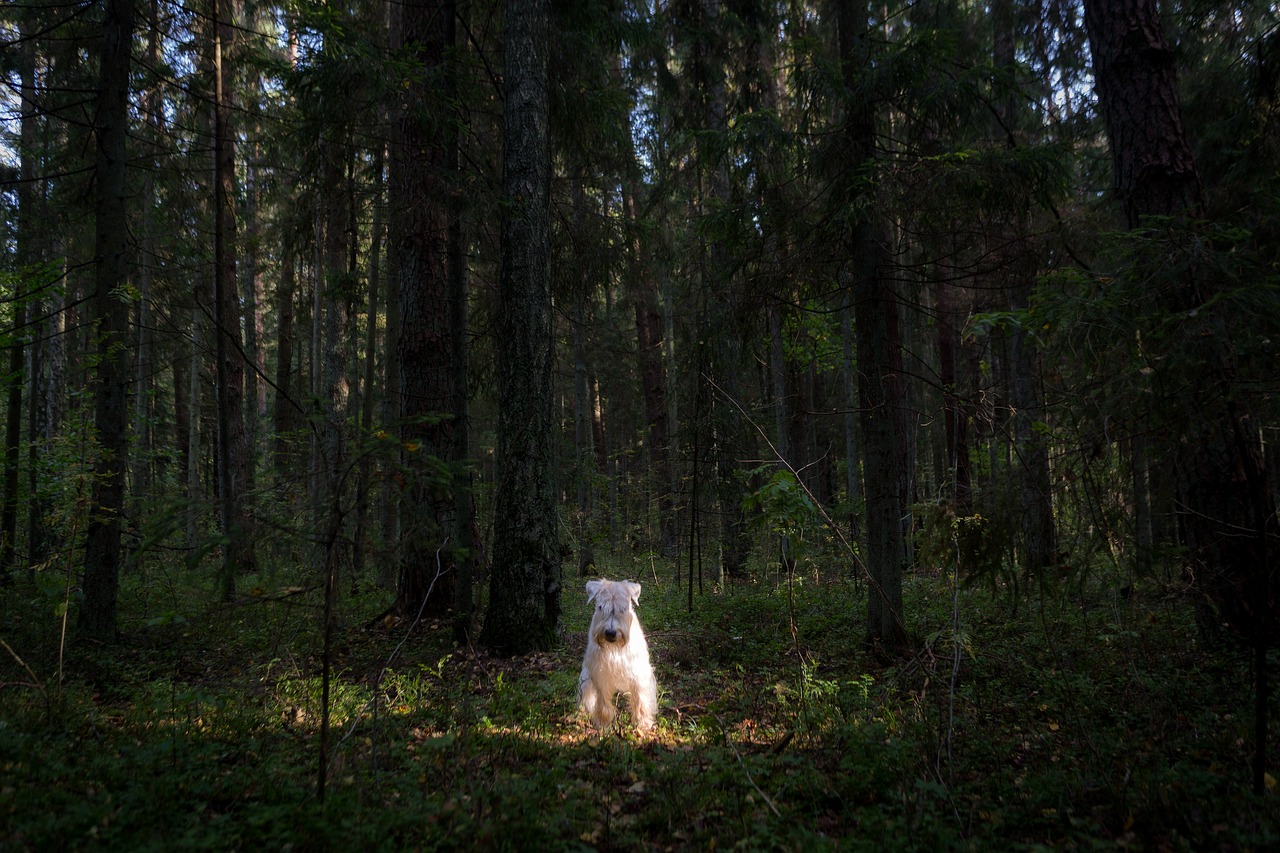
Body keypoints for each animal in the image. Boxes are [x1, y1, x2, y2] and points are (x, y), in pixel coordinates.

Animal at [581, 573, 660, 727]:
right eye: (600, 607)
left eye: (623, 608)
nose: (610, 633)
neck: (615, 648)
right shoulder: (600, 673)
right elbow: (603, 701)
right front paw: (603, 724)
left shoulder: (638, 672)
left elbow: (641, 698)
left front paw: (643, 724)